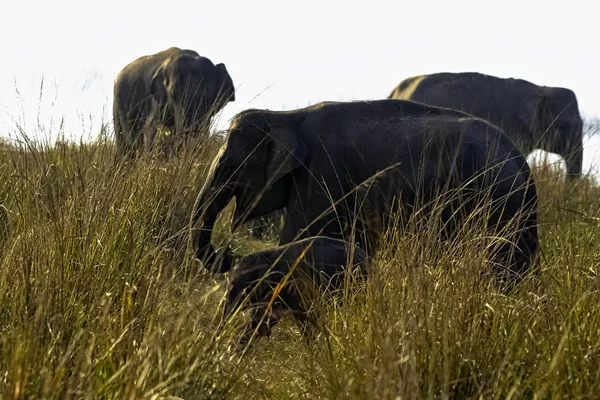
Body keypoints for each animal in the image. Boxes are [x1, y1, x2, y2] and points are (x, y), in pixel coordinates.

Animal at [192, 100, 540, 288]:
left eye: (228, 166)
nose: (227, 254)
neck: (286, 116)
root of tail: (523, 165)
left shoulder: (321, 176)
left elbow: (298, 239)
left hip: (492, 202)